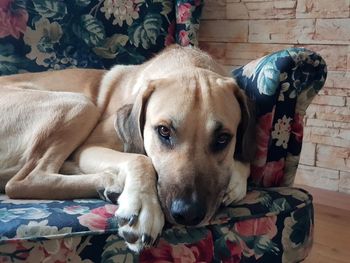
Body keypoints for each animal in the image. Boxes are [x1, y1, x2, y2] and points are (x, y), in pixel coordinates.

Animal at [0, 44, 254, 252]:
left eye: (222, 138)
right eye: (163, 131)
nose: (187, 213)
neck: (188, 63)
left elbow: (245, 161)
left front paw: (235, 182)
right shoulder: (90, 147)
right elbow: (140, 158)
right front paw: (143, 207)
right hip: (79, 104)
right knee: (24, 181)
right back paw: (108, 181)